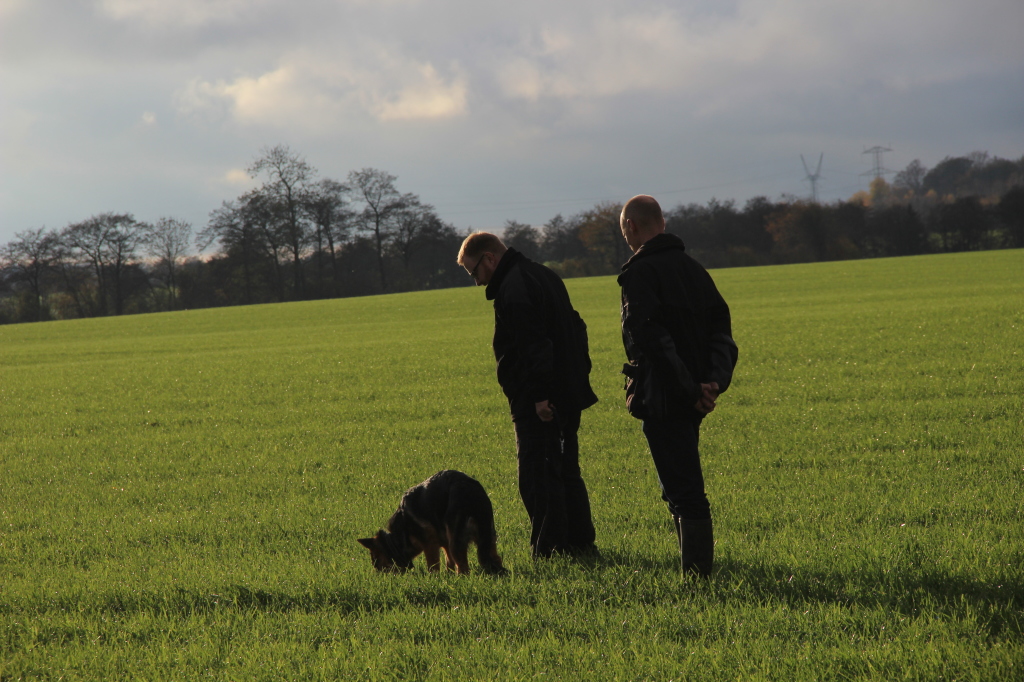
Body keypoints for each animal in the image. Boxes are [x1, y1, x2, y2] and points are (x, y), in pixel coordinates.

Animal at [357, 470, 506, 575]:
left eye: (376, 562)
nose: (377, 577)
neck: (397, 539)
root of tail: (471, 490)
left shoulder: (430, 544)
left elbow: (433, 566)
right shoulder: (444, 542)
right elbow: (449, 561)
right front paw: (448, 575)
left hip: (456, 541)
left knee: (464, 567)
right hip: (488, 536)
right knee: (495, 558)